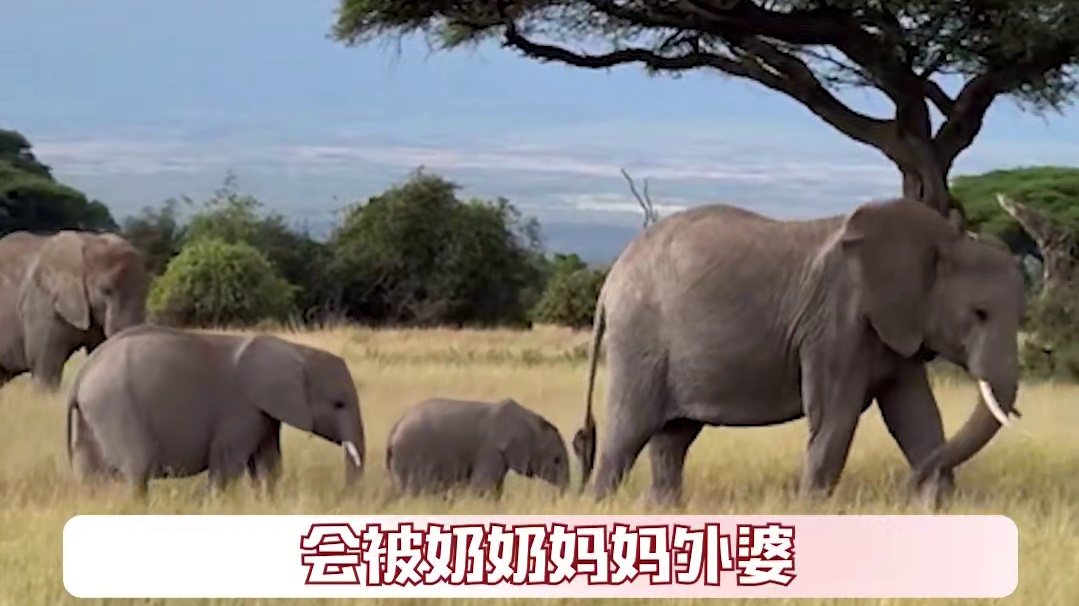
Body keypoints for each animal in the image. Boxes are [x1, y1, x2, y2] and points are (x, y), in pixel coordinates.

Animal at [65, 324, 366, 496]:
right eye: (338, 403)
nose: (345, 495)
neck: (297, 351)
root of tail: (83, 374)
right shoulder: (241, 409)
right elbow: (228, 465)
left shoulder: (265, 412)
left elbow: (268, 465)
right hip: (116, 404)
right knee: (138, 468)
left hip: (93, 412)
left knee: (88, 472)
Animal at [572, 197, 1026, 510]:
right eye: (979, 313)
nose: (905, 486)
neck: (937, 239)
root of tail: (610, 282)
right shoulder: (835, 321)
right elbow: (835, 418)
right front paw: (811, 510)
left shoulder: (900, 324)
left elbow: (916, 417)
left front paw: (937, 507)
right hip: (640, 340)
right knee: (627, 433)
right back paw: (599, 507)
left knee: (673, 439)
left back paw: (665, 510)